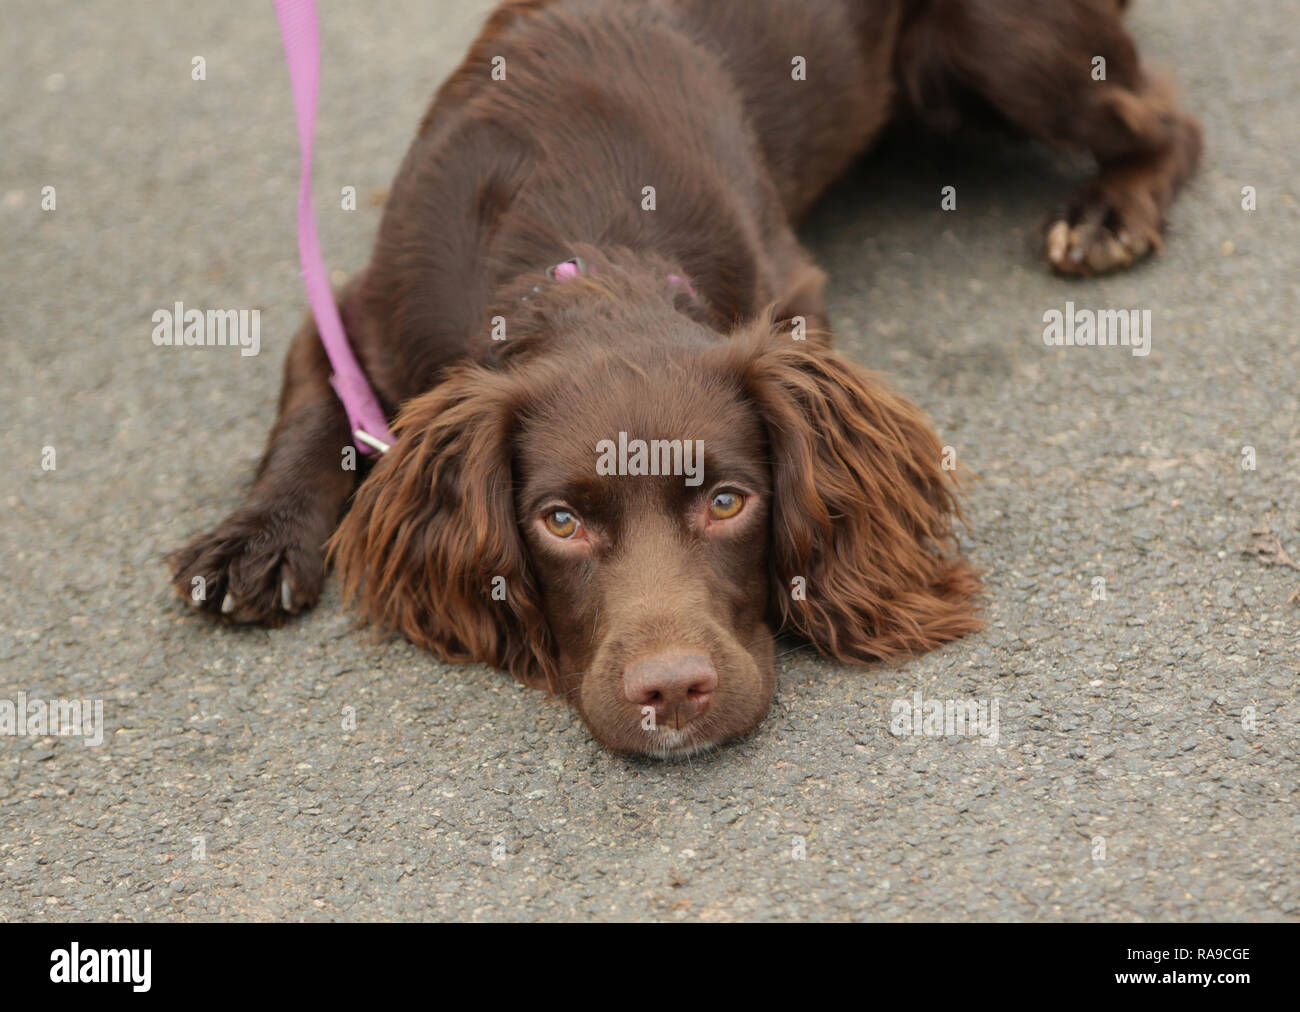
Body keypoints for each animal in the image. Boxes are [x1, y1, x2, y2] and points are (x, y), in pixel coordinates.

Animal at [170, 0, 1196, 754]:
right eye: (560, 522)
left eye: (730, 503)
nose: (671, 692)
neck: (578, 253)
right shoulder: (357, 310)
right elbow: (313, 412)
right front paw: (254, 539)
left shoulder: (792, 295)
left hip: (1012, 44)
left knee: (1165, 118)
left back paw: (1110, 211)